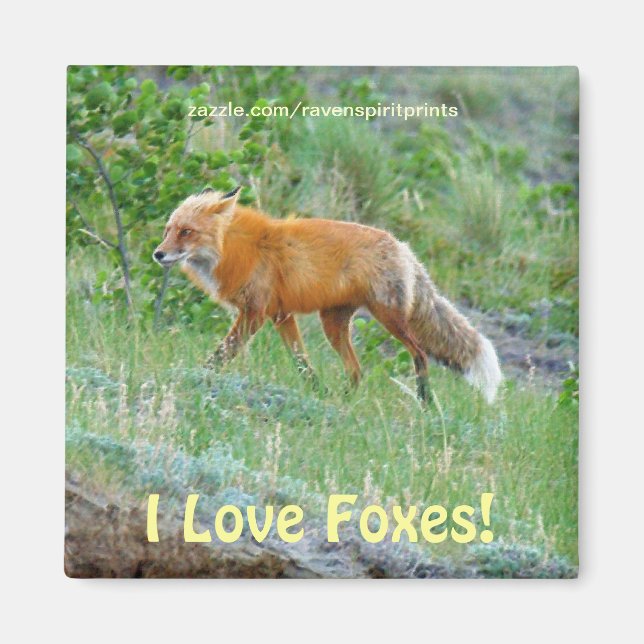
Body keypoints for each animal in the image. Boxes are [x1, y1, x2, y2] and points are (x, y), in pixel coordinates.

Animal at [153, 187, 502, 404]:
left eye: (187, 232)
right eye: (167, 230)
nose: (158, 254)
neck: (237, 249)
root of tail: (403, 247)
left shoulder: (255, 313)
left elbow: (222, 354)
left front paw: (197, 376)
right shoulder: (281, 315)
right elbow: (301, 362)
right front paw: (318, 392)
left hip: (389, 318)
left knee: (419, 354)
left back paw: (426, 402)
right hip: (333, 324)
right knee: (357, 370)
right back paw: (345, 401)